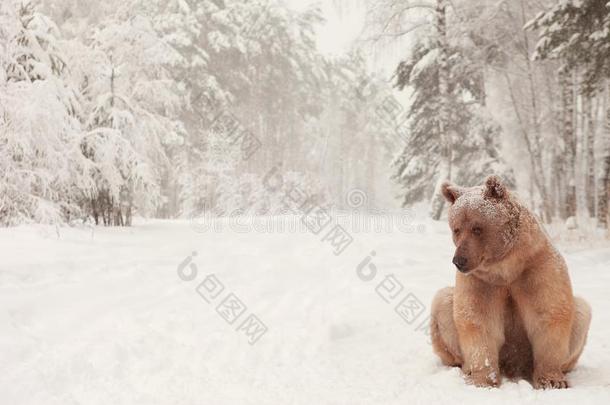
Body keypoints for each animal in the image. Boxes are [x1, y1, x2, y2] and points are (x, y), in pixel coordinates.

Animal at [428, 174, 588, 388]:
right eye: (456, 229)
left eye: (477, 228)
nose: (459, 260)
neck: (506, 268)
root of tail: (514, 368)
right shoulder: (482, 282)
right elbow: (479, 321)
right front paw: (484, 379)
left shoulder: (535, 269)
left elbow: (548, 315)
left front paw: (552, 380)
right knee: (444, 302)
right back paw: (466, 368)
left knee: (581, 310)